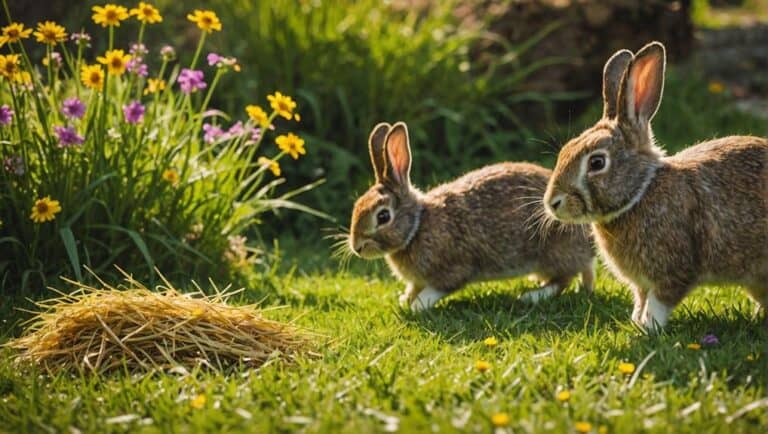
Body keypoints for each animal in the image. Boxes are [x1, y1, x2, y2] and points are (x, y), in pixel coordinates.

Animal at [349, 121, 595, 311]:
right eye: (357, 206)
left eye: (383, 216)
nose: (357, 247)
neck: (417, 227)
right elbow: (413, 287)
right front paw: (404, 300)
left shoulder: (452, 270)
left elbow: (435, 289)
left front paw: (417, 306)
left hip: (555, 250)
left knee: (564, 279)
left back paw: (531, 296)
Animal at [543, 41, 768, 330]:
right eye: (565, 150)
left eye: (596, 162)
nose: (553, 203)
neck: (641, 192)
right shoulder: (642, 283)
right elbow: (641, 299)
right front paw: (636, 322)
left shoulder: (673, 271)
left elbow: (659, 303)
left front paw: (649, 329)